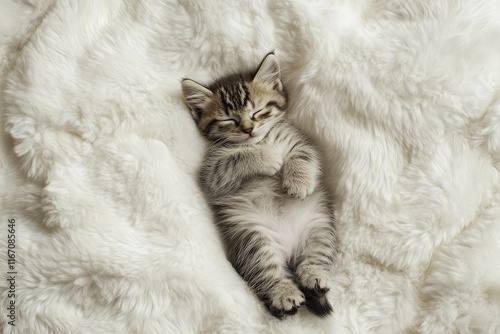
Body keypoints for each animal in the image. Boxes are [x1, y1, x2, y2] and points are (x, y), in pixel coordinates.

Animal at [182, 52, 338, 318]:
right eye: (228, 120)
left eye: (258, 111)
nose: (248, 129)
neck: (262, 139)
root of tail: (289, 251)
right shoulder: (212, 172)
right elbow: (237, 157)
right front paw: (267, 157)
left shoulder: (303, 143)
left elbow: (302, 157)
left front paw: (299, 182)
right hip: (255, 239)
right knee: (268, 271)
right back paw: (284, 294)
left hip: (319, 228)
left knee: (316, 256)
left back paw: (314, 277)